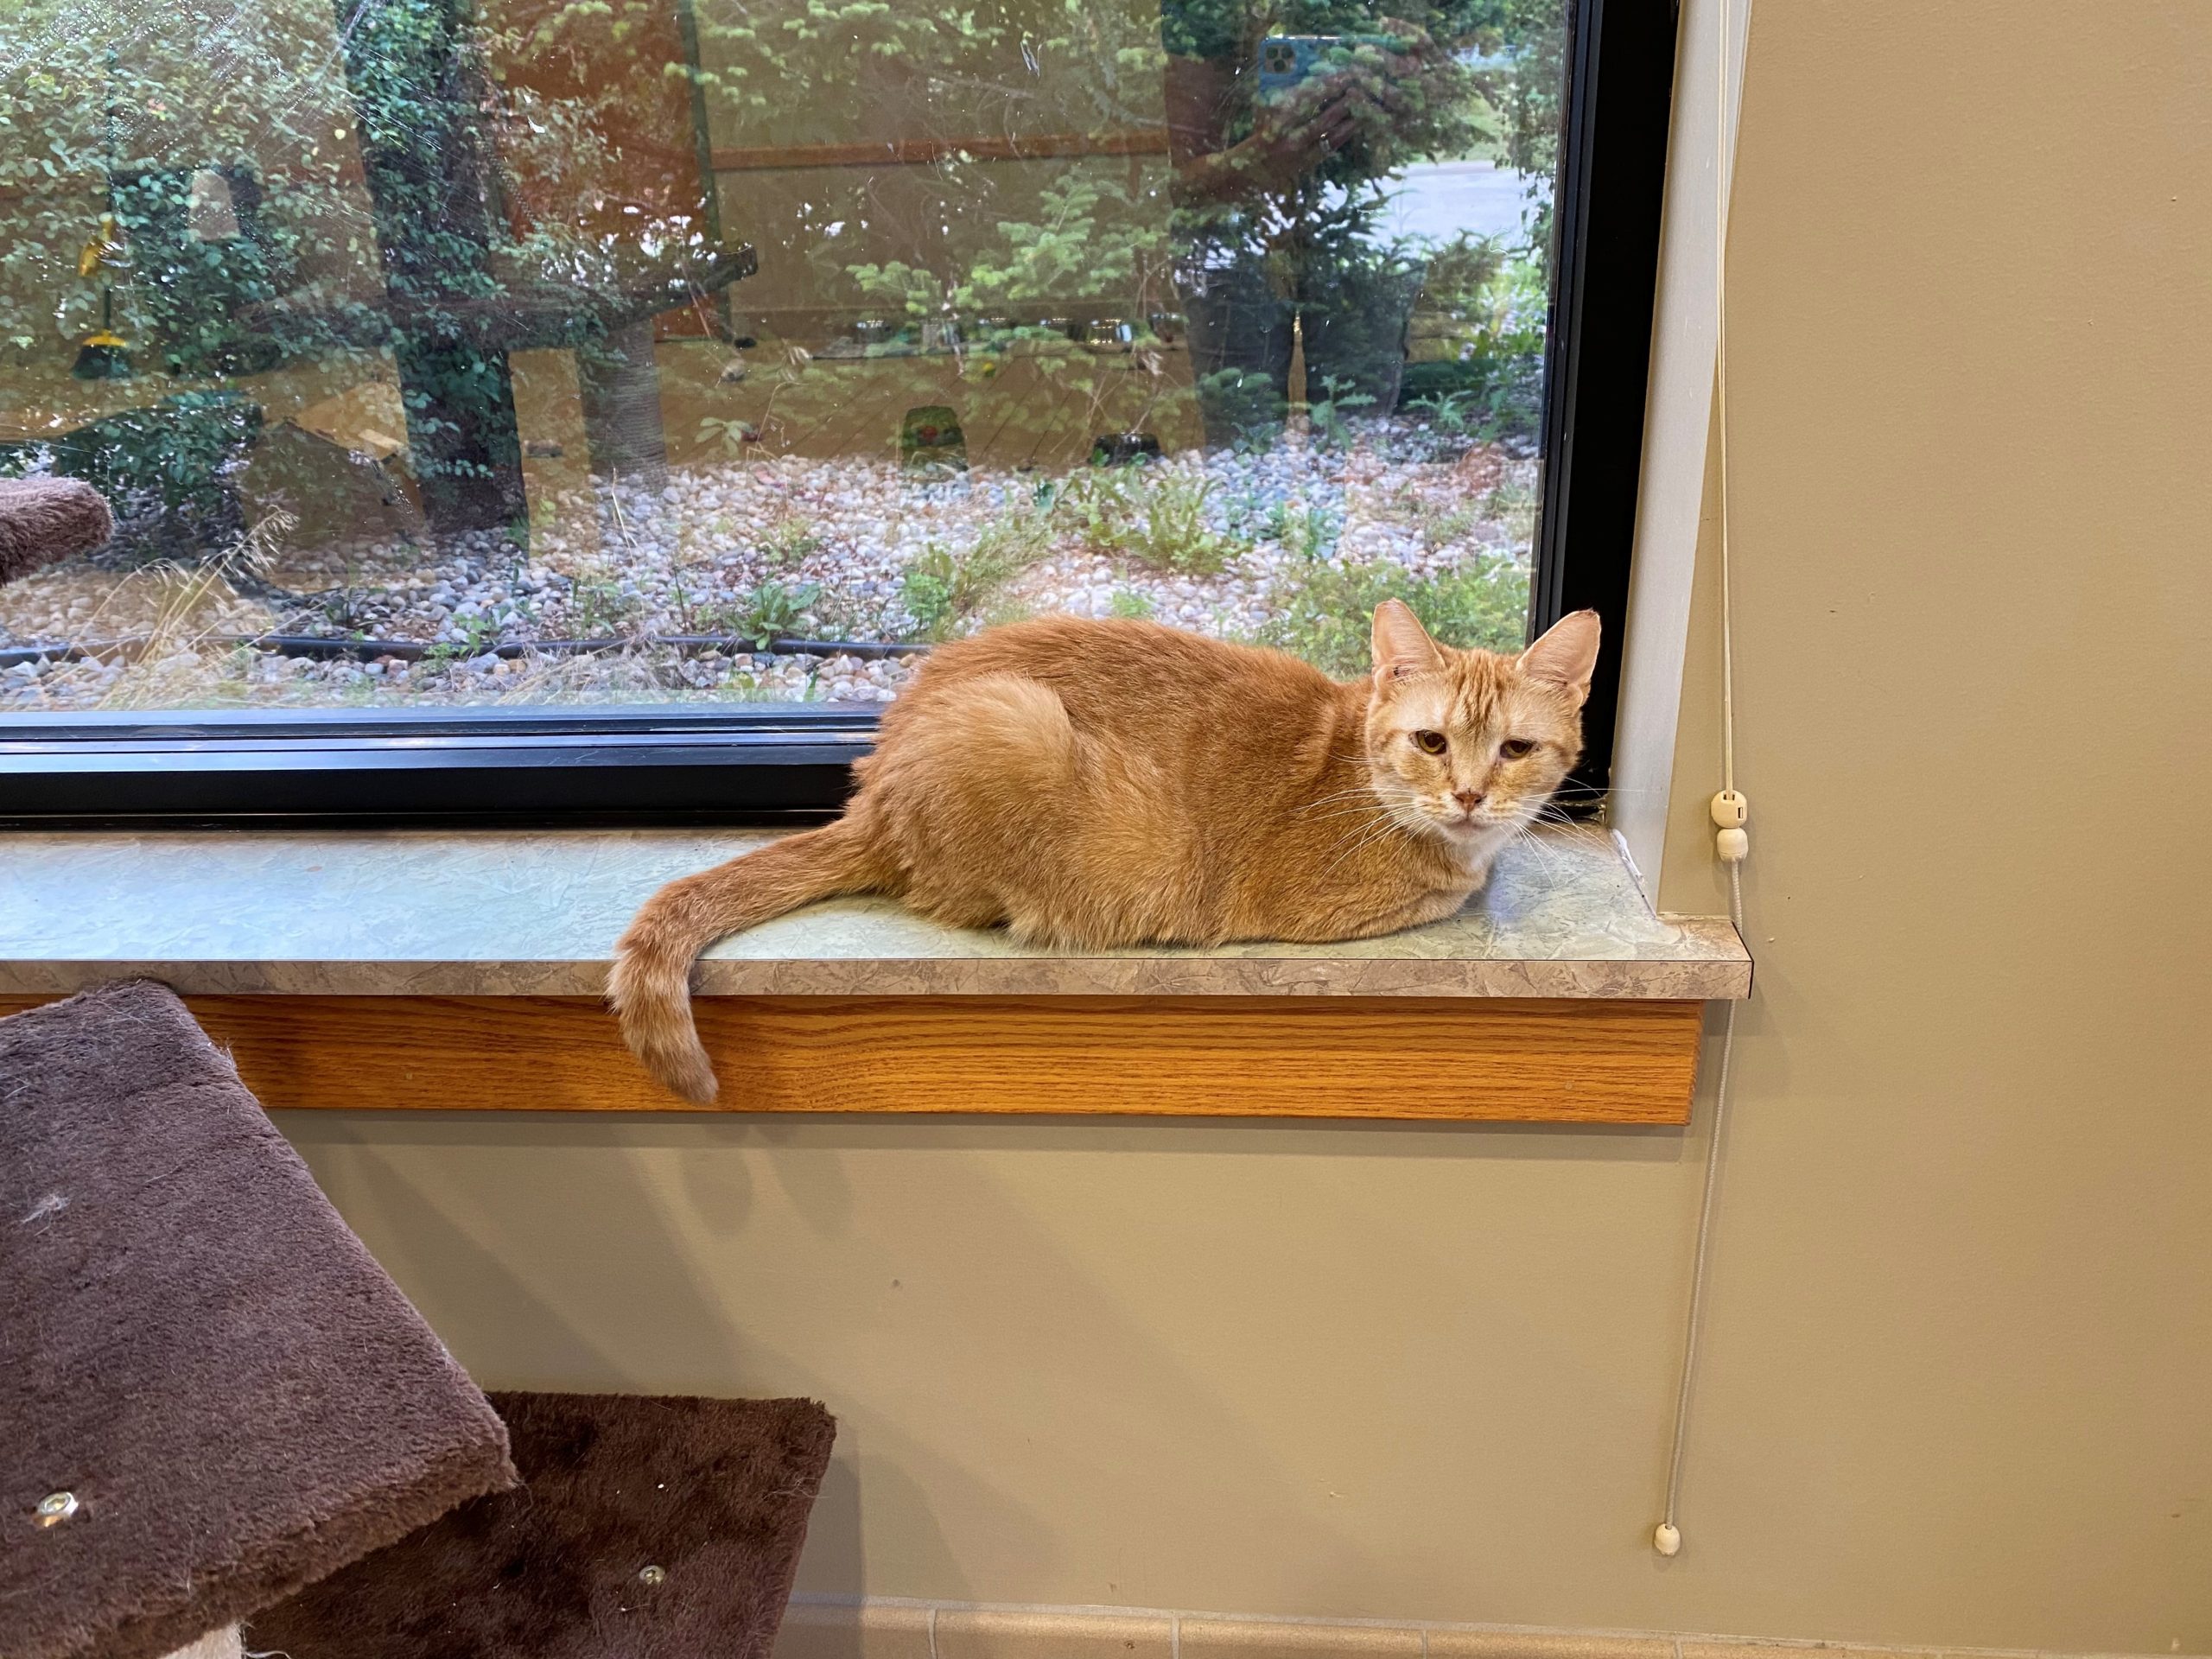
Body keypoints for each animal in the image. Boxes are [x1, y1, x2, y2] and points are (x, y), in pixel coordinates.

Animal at [610, 600, 1600, 1101]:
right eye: (1432, 743)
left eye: (1514, 749)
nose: (1469, 796)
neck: (1355, 764)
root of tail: (875, 786)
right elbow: (1453, 890)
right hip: (1014, 723)